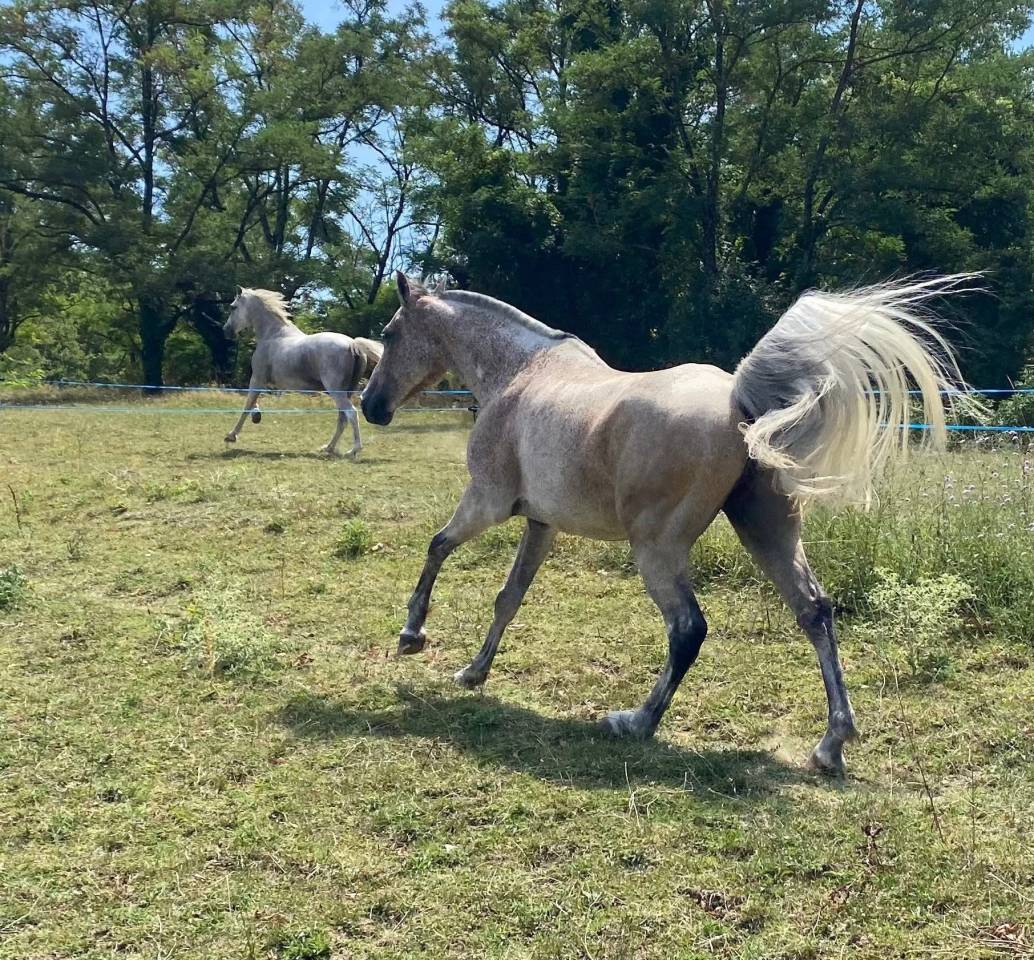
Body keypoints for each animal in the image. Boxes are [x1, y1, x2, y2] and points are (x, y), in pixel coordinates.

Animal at [222, 288, 383, 457]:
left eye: (233, 307)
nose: (226, 331)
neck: (272, 335)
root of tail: (353, 344)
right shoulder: (262, 381)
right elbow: (252, 402)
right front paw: (256, 416)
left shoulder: (257, 379)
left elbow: (247, 404)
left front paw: (231, 436)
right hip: (346, 392)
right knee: (342, 418)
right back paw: (328, 447)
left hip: (336, 391)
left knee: (351, 413)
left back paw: (353, 450)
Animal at [361, 272, 974, 775]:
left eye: (389, 333)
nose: (371, 407)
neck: (520, 373)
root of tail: (739, 403)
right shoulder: (540, 524)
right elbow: (508, 598)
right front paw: (474, 672)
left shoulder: (486, 501)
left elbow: (437, 547)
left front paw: (412, 635)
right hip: (767, 533)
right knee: (814, 612)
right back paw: (831, 745)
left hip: (656, 548)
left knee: (688, 628)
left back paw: (636, 721)